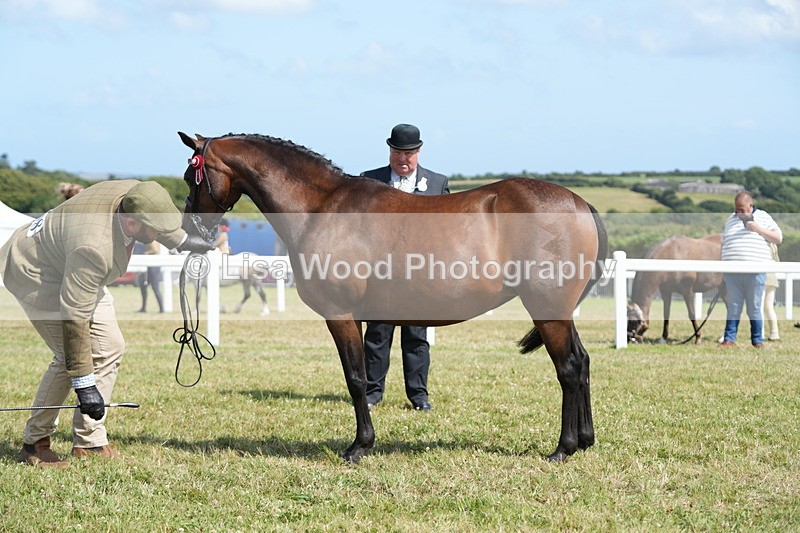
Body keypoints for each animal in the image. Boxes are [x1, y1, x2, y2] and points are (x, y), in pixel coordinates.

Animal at [177, 132, 608, 463]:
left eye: (191, 176)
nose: (192, 235)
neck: (322, 208)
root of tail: (579, 203)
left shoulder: (340, 314)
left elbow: (356, 378)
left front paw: (359, 446)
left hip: (547, 308)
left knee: (569, 368)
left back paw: (563, 448)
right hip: (559, 311)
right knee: (583, 362)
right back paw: (586, 441)